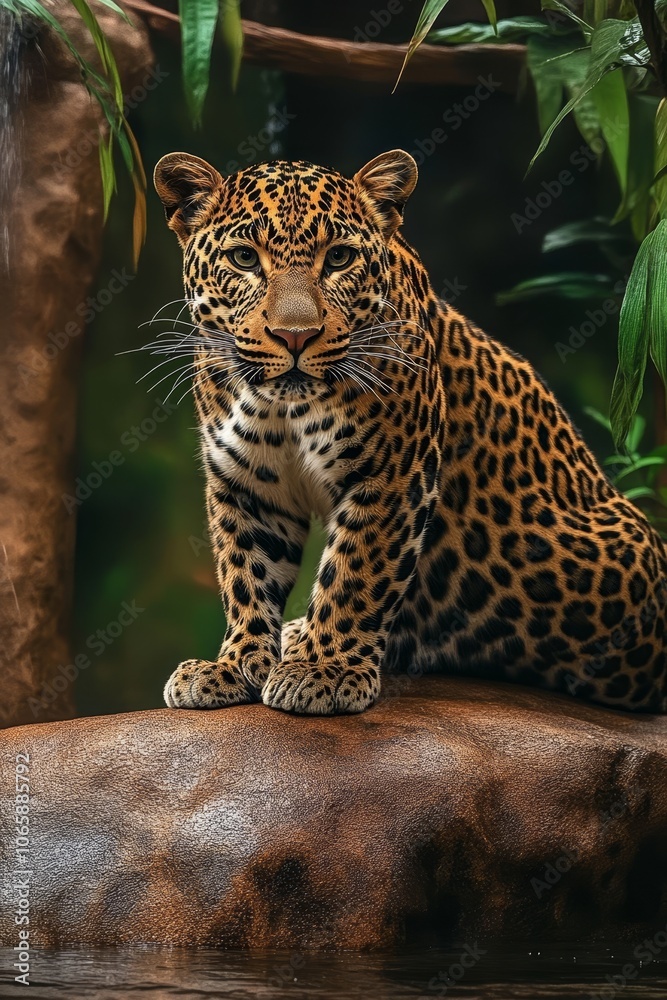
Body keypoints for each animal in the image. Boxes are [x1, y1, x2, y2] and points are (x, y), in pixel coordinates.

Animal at [153, 148, 667, 716]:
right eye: (244, 259)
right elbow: (247, 574)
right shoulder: (247, 482)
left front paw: (324, 670)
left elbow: (354, 573)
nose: (295, 336)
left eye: (338, 258)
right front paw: (235, 665)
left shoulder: (391, 475)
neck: (286, 406)